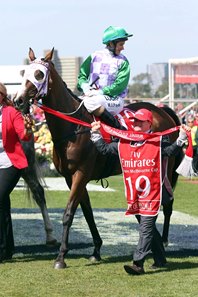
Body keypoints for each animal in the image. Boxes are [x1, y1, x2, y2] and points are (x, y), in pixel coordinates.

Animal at [14, 48, 183, 268]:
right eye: (24, 72)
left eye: (39, 74)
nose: (18, 100)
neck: (74, 128)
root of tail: (163, 110)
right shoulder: (71, 178)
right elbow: (87, 213)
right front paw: (95, 250)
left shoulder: (81, 174)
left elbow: (69, 213)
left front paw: (60, 257)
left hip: (164, 168)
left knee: (167, 203)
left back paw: (163, 243)